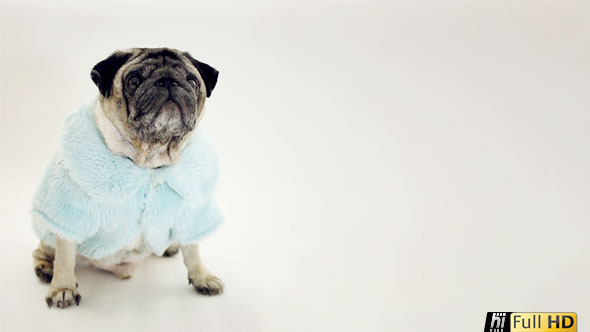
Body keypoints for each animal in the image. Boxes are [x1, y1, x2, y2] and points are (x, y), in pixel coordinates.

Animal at [33, 48, 227, 308]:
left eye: (192, 81)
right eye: (133, 81)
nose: (168, 81)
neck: (149, 162)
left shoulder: (188, 213)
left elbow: (193, 250)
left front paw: (202, 277)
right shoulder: (70, 215)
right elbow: (65, 257)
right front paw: (63, 288)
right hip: (47, 233)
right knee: (45, 251)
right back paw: (45, 269)